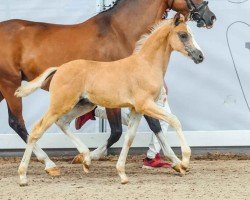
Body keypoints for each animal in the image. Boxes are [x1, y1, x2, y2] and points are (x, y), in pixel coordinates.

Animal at [0, 0, 215, 175]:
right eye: (183, 35)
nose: (210, 17)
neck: (121, 31)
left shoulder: (137, 101)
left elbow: (151, 126)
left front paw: (177, 162)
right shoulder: (122, 99)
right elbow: (118, 131)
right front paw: (88, 157)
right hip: (11, 84)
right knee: (18, 123)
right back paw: (49, 164)